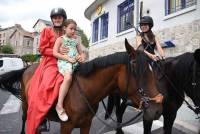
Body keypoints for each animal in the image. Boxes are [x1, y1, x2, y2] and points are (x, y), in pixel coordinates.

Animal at [0, 39, 162, 134]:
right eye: (138, 72)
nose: (157, 109)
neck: (84, 92)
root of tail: (27, 67)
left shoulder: (86, 124)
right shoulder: (66, 126)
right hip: (26, 106)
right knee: (24, 120)